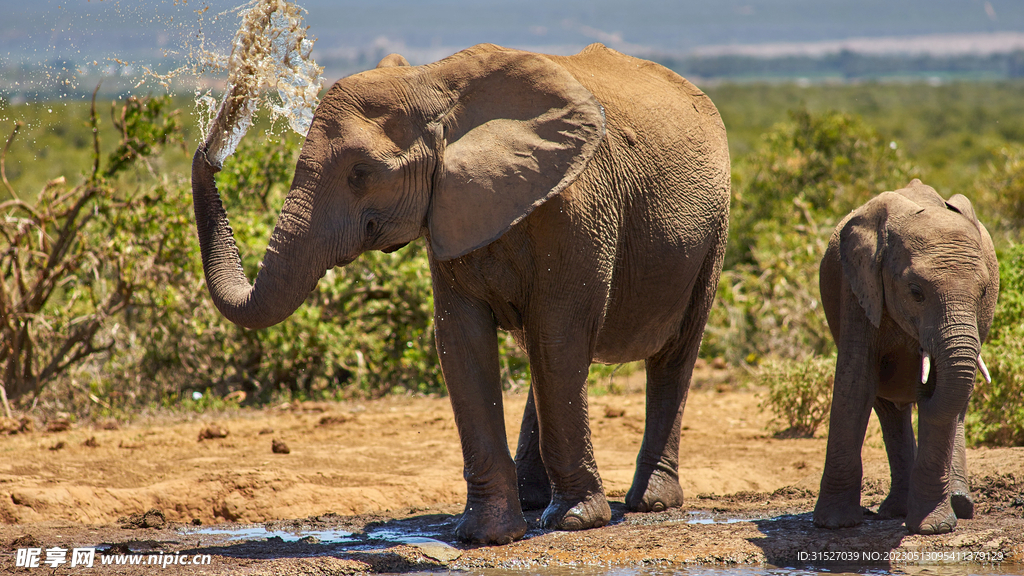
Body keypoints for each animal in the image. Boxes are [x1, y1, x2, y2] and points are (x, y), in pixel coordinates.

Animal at [192, 43, 733, 541]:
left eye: (360, 173)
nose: (211, 149)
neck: (433, 83)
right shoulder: (448, 207)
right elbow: (462, 342)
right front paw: (486, 536)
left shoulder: (578, 208)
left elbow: (559, 337)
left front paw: (577, 522)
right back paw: (534, 500)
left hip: (713, 230)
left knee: (670, 353)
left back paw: (650, 503)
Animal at [815, 180, 999, 532]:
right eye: (916, 292)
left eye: (983, 293)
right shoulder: (858, 286)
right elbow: (855, 382)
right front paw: (834, 524)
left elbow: (944, 396)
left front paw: (932, 528)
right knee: (888, 408)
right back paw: (897, 510)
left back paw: (958, 504)